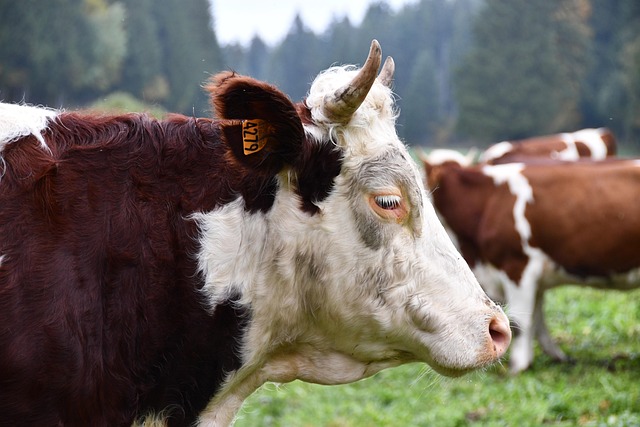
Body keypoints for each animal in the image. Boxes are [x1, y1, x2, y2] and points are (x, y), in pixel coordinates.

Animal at [422, 152, 640, 373]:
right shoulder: (536, 278)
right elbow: (537, 320)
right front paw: (557, 356)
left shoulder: (517, 266)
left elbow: (520, 322)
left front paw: (517, 368)